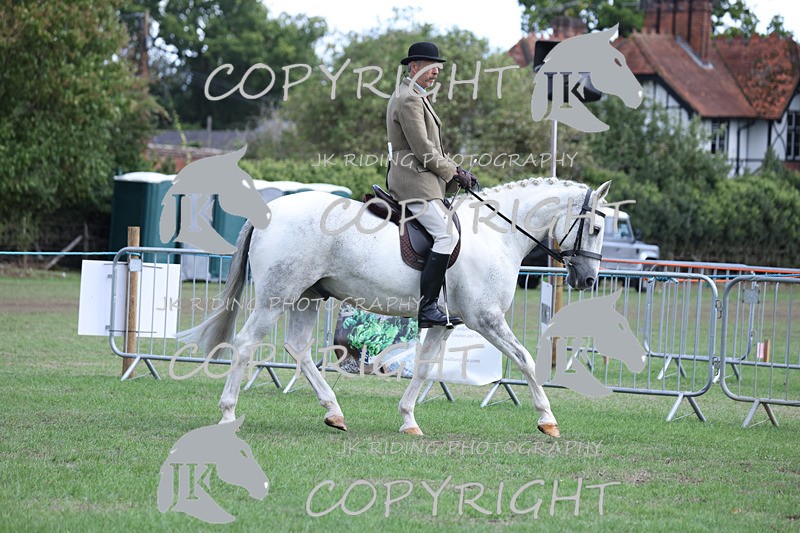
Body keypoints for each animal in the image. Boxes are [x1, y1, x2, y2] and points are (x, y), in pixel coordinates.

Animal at [179, 177, 612, 438]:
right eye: (595, 228)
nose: (588, 280)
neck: (496, 233)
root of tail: (271, 211)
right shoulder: (486, 319)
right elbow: (525, 359)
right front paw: (548, 419)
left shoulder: (443, 323)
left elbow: (423, 368)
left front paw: (408, 420)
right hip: (276, 295)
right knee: (246, 345)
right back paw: (228, 413)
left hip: (307, 297)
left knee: (298, 348)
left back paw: (334, 412)